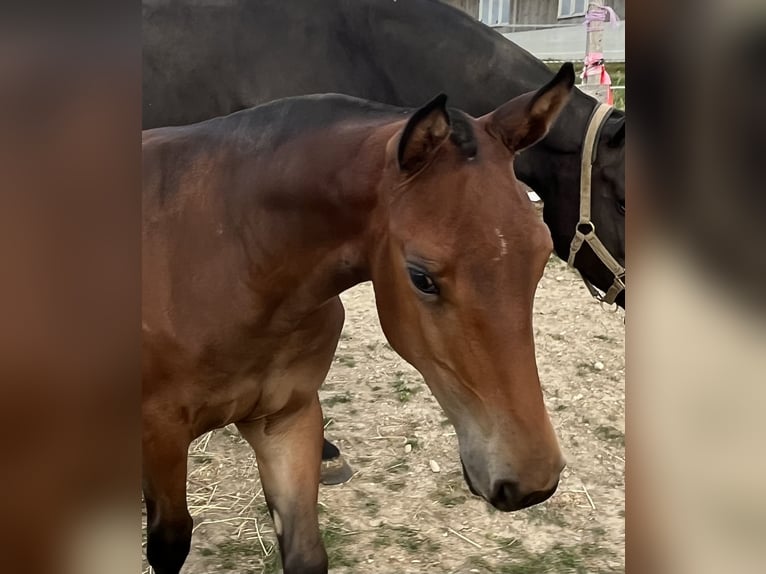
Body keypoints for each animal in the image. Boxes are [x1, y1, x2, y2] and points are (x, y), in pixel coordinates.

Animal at [142, 64, 575, 574]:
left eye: (543, 254)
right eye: (421, 277)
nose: (533, 480)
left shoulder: (286, 419)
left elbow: (307, 553)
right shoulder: (161, 434)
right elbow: (169, 542)